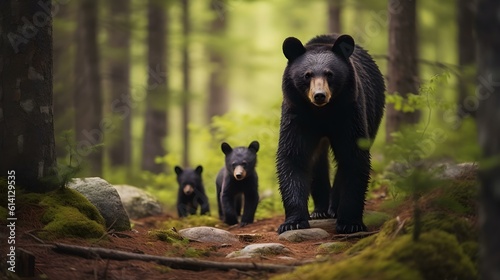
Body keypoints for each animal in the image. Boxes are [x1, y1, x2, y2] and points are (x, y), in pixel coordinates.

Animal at [276, 33, 384, 234]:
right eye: (307, 75)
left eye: (330, 74)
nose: (319, 95)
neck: (322, 113)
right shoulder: (297, 115)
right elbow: (293, 156)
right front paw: (293, 222)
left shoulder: (350, 112)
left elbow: (354, 156)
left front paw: (350, 222)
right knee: (317, 161)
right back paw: (320, 209)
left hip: (374, 109)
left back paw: (333, 207)